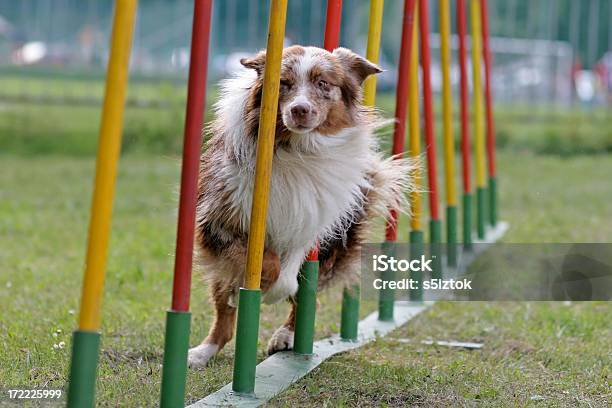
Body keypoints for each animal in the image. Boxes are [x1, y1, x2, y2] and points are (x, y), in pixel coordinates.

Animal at [186, 45, 416, 370]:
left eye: (323, 83)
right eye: (283, 83)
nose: (300, 109)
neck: (296, 148)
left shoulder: (307, 224)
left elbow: (286, 275)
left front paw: (274, 292)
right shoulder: (221, 221)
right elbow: (265, 263)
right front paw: (258, 285)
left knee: (308, 297)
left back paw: (286, 335)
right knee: (225, 313)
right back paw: (201, 352)